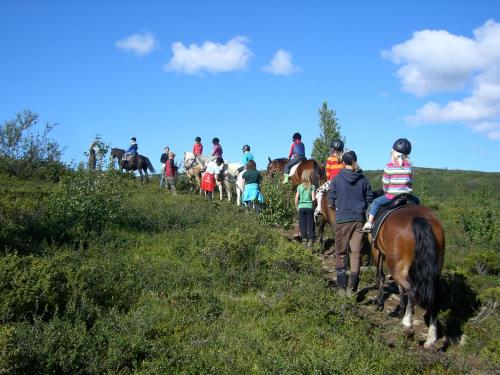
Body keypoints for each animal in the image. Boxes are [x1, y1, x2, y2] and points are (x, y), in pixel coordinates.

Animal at [372, 206, 446, 350]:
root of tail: (419, 218)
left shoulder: (377, 251)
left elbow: (381, 276)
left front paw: (380, 304)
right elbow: (400, 287)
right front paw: (400, 308)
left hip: (395, 265)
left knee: (412, 290)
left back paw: (407, 324)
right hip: (435, 267)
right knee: (434, 296)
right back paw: (431, 338)